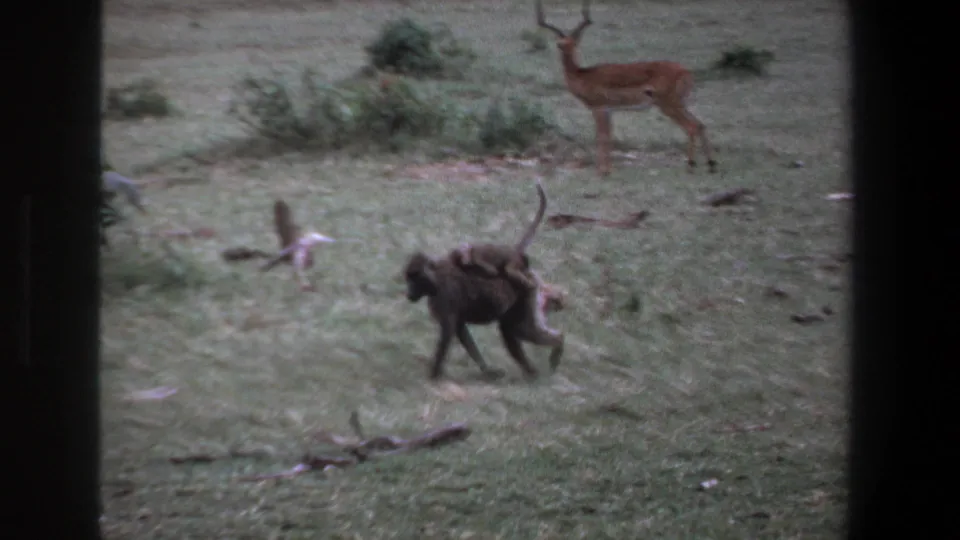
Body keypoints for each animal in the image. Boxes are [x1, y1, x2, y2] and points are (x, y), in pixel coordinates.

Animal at [402, 249, 564, 382]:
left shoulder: (445, 295)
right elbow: (461, 331)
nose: (408, 293)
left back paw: (558, 344)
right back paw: (532, 372)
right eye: (408, 279)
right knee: (509, 329)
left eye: (414, 278)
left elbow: (447, 333)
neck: (435, 278)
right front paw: (487, 371)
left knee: (520, 329)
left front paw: (433, 376)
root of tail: (526, 272)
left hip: (524, 292)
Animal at [536, 0, 717, 176]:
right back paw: (711, 164)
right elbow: (608, 136)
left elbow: (602, 137)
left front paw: (603, 171)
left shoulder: (599, 108)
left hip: (668, 104)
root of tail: (685, 71)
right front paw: (607, 169)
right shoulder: (608, 110)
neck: (583, 75)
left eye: (573, 43)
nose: (562, 46)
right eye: (562, 43)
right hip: (680, 103)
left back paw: (691, 166)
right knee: (701, 124)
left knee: (691, 127)